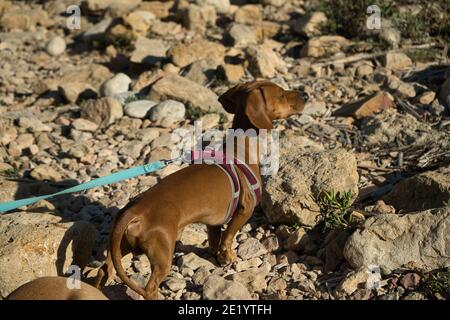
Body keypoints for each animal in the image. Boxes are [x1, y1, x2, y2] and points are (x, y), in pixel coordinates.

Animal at [94, 80, 306, 300]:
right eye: (281, 95)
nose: (306, 95)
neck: (241, 148)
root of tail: (134, 212)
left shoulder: (214, 222)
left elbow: (215, 241)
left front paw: (218, 258)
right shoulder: (244, 210)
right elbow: (228, 238)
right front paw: (230, 258)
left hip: (120, 247)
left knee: (104, 271)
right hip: (161, 254)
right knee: (150, 287)